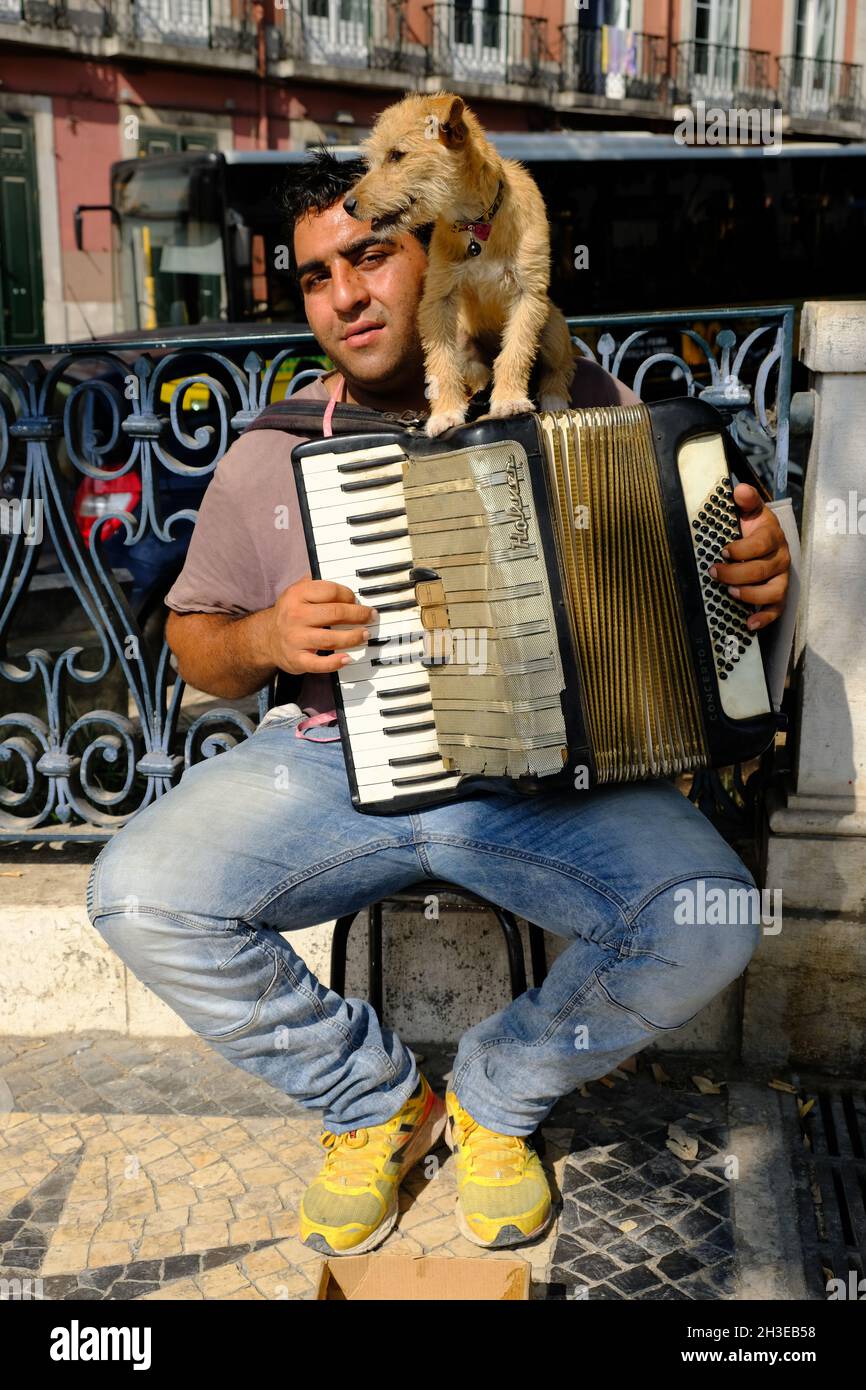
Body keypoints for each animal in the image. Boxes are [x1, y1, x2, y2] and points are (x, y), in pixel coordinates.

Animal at [343, 90, 575, 436]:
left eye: (396, 156)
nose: (348, 205)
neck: (476, 224)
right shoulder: (438, 300)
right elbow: (441, 362)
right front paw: (445, 413)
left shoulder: (528, 295)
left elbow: (516, 352)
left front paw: (509, 400)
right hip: (465, 339)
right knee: (475, 376)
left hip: (553, 327)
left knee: (558, 366)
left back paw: (554, 397)